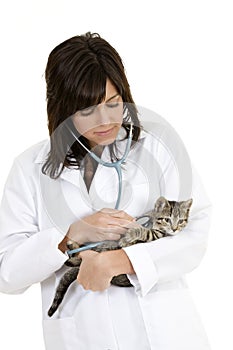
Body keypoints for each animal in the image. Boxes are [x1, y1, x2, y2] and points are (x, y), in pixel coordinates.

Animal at [47, 197, 193, 318]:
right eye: (167, 219)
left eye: (181, 221)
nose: (174, 229)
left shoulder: (154, 236)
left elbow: (144, 232)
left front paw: (129, 235)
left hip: (106, 250)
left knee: (83, 258)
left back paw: (72, 258)